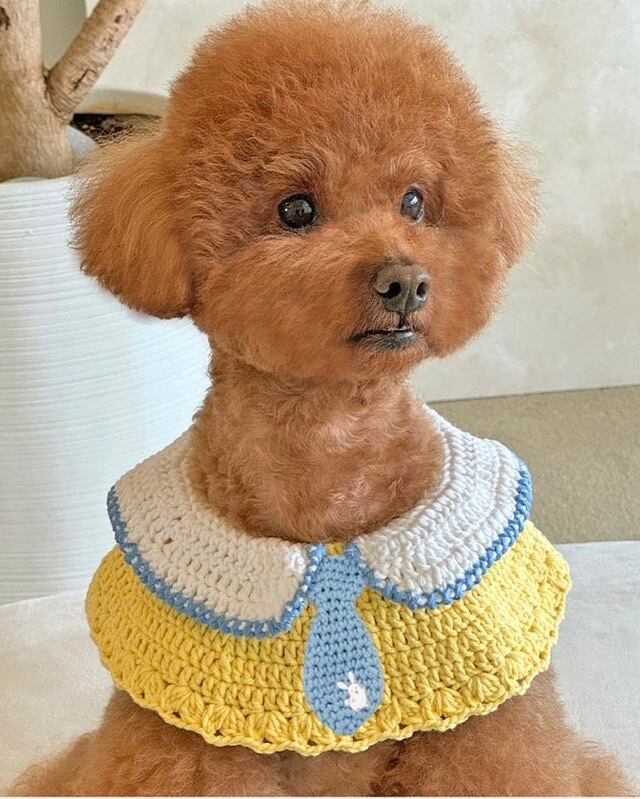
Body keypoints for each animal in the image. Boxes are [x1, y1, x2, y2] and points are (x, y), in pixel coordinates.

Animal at [13, 1, 633, 795]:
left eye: (415, 202)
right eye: (297, 209)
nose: (405, 281)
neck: (329, 445)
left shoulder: (489, 708)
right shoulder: (181, 732)